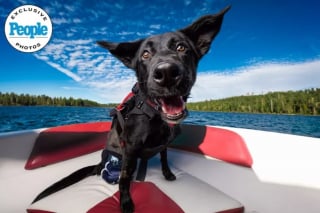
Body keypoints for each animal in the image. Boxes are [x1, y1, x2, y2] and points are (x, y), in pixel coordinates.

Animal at [31, 5, 230, 212]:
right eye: (145, 54)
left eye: (181, 47)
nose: (166, 72)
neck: (156, 116)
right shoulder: (130, 150)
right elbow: (125, 179)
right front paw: (125, 202)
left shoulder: (164, 145)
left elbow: (164, 158)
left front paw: (167, 173)